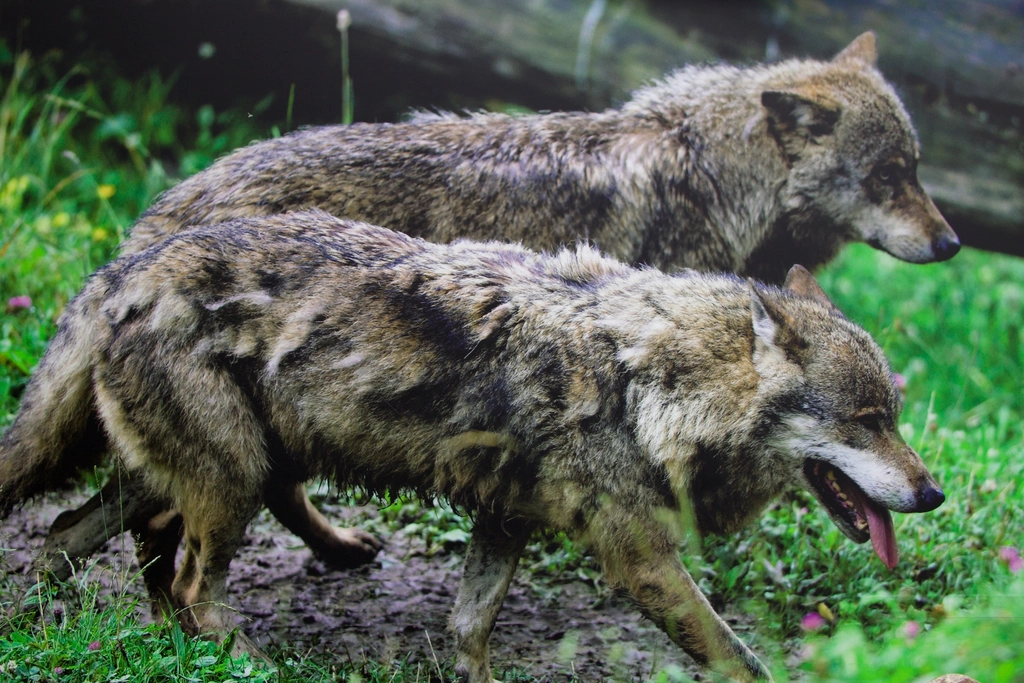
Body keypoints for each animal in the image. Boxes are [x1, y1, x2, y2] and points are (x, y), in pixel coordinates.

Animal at [0, 211, 945, 682]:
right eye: (865, 421)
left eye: (895, 414)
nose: (933, 494)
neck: (647, 381)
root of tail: (125, 267)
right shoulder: (640, 560)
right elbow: (739, 658)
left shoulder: (503, 518)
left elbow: (468, 627)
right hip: (234, 481)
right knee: (188, 576)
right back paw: (245, 662)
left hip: (205, 474)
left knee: (70, 538)